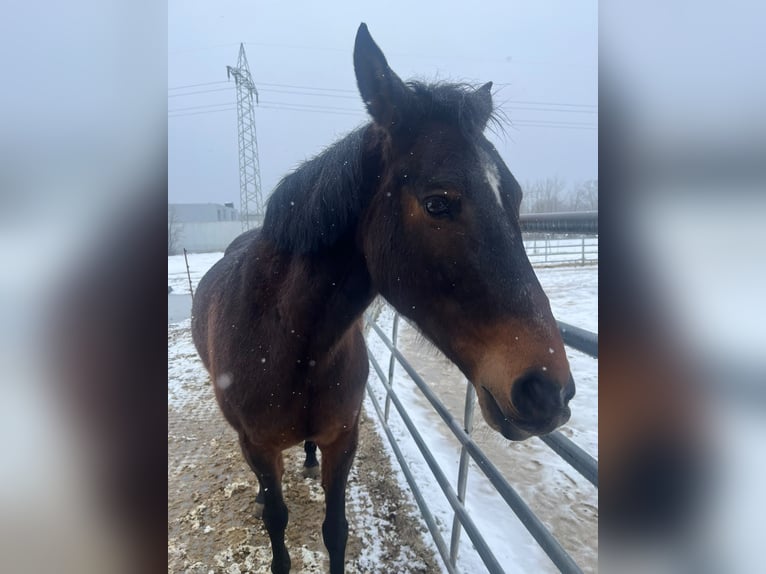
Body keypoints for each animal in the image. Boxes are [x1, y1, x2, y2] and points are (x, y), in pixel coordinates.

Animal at [191, 22, 574, 574]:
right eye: (438, 203)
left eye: (516, 198)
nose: (548, 392)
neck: (286, 343)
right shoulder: (259, 448)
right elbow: (278, 526)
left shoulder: (344, 439)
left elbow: (336, 530)